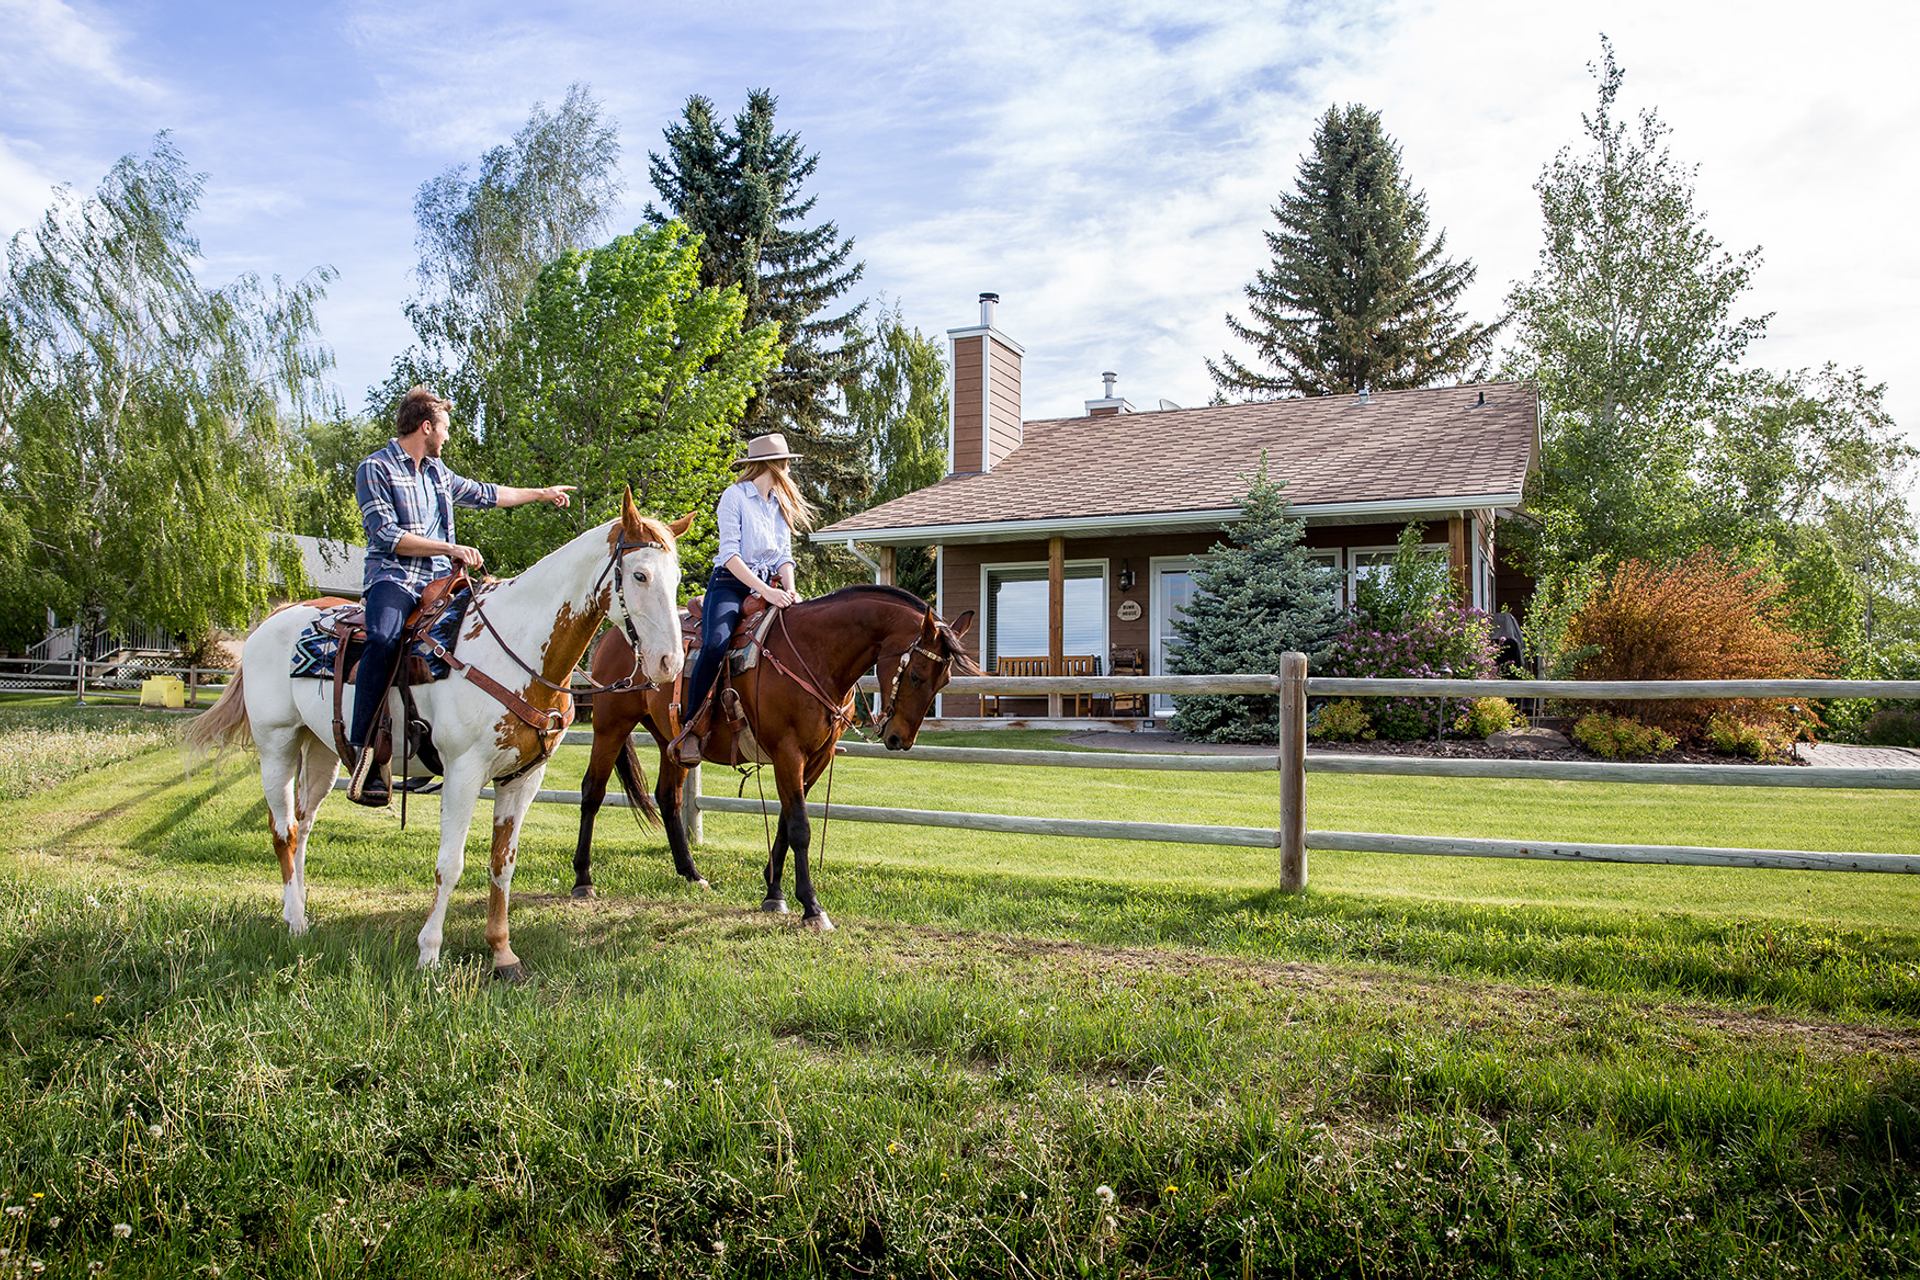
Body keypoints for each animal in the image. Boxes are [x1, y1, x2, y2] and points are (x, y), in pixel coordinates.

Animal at [191, 495, 687, 974]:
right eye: (640, 574)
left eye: (678, 577)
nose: (670, 663)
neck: (515, 650)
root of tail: (276, 617)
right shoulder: (464, 773)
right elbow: (450, 864)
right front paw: (429, 953)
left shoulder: (523, 778)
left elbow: (502, 864)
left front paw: (502, 953)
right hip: (276, 744)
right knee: (285, 830)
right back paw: (295, 921)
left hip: (320, 751)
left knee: (305, 824)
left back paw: (299, 908)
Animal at [568, 583, 975, 932]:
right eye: (917, 675)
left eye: (944, 681)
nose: (899, 739)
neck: (815, 653)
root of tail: (615, 635)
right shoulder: (787, 751)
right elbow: (800, 827)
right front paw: (812, 906)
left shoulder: (816, 756)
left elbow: (785, 820)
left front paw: (774, 892)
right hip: (611, 725)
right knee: (593, 791)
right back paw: (583, 879)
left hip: (670, 739)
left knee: (668, 797)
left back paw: (692, 874)